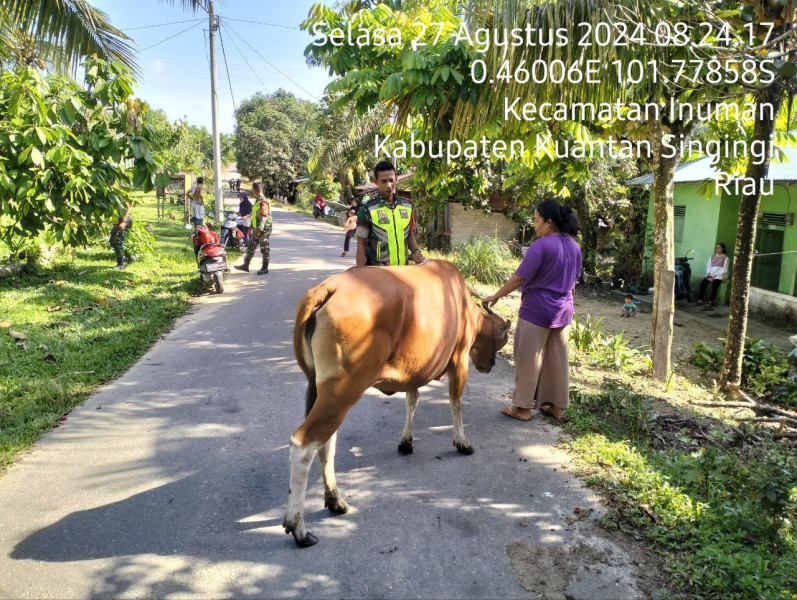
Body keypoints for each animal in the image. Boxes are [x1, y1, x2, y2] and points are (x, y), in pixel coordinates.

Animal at [282, 258, 512, 548]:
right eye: (502, 340)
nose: (490, 365)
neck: (462, 304)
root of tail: (329, 287)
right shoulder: (459, 360)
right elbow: (456, 402)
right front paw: (462, 442)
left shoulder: (414, 369)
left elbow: (412, 401)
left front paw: (406, 442)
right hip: (342, 390)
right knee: (304, 445)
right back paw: (299, 528)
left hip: (320, 388)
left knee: (325, 443)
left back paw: (335, 501)